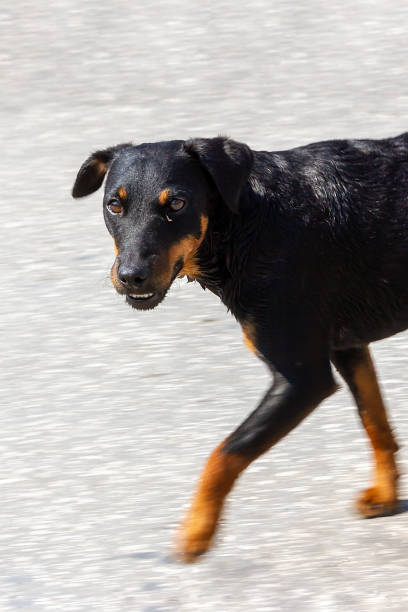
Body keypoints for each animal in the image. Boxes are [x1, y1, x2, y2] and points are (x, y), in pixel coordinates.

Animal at [71, 133, 406, 560]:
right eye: (115, 205)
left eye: (176, 204)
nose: (130, 276)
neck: (246, 221)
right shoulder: (347, 347)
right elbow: (374, 421)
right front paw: (386, 494)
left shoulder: (302, 380)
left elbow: (225, 453)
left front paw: (197, 531)